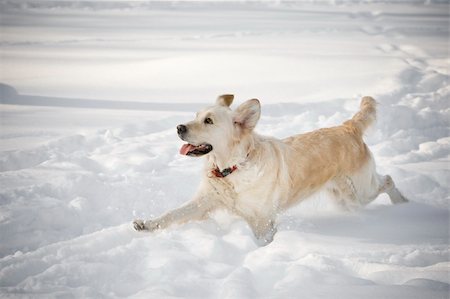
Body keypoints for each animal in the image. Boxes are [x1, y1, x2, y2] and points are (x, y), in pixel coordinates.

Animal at [133, 95, 408, 245]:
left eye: (208, 121)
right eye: (196, 115)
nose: (179, 127)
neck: (232, 168)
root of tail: (347, 127)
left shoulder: (263, 220)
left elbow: (263, 239)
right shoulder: (204, 201)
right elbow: (172, 214)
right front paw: (147, 224)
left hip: (359, 193)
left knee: (388, 180)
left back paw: (403, 204)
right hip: (342, 197)